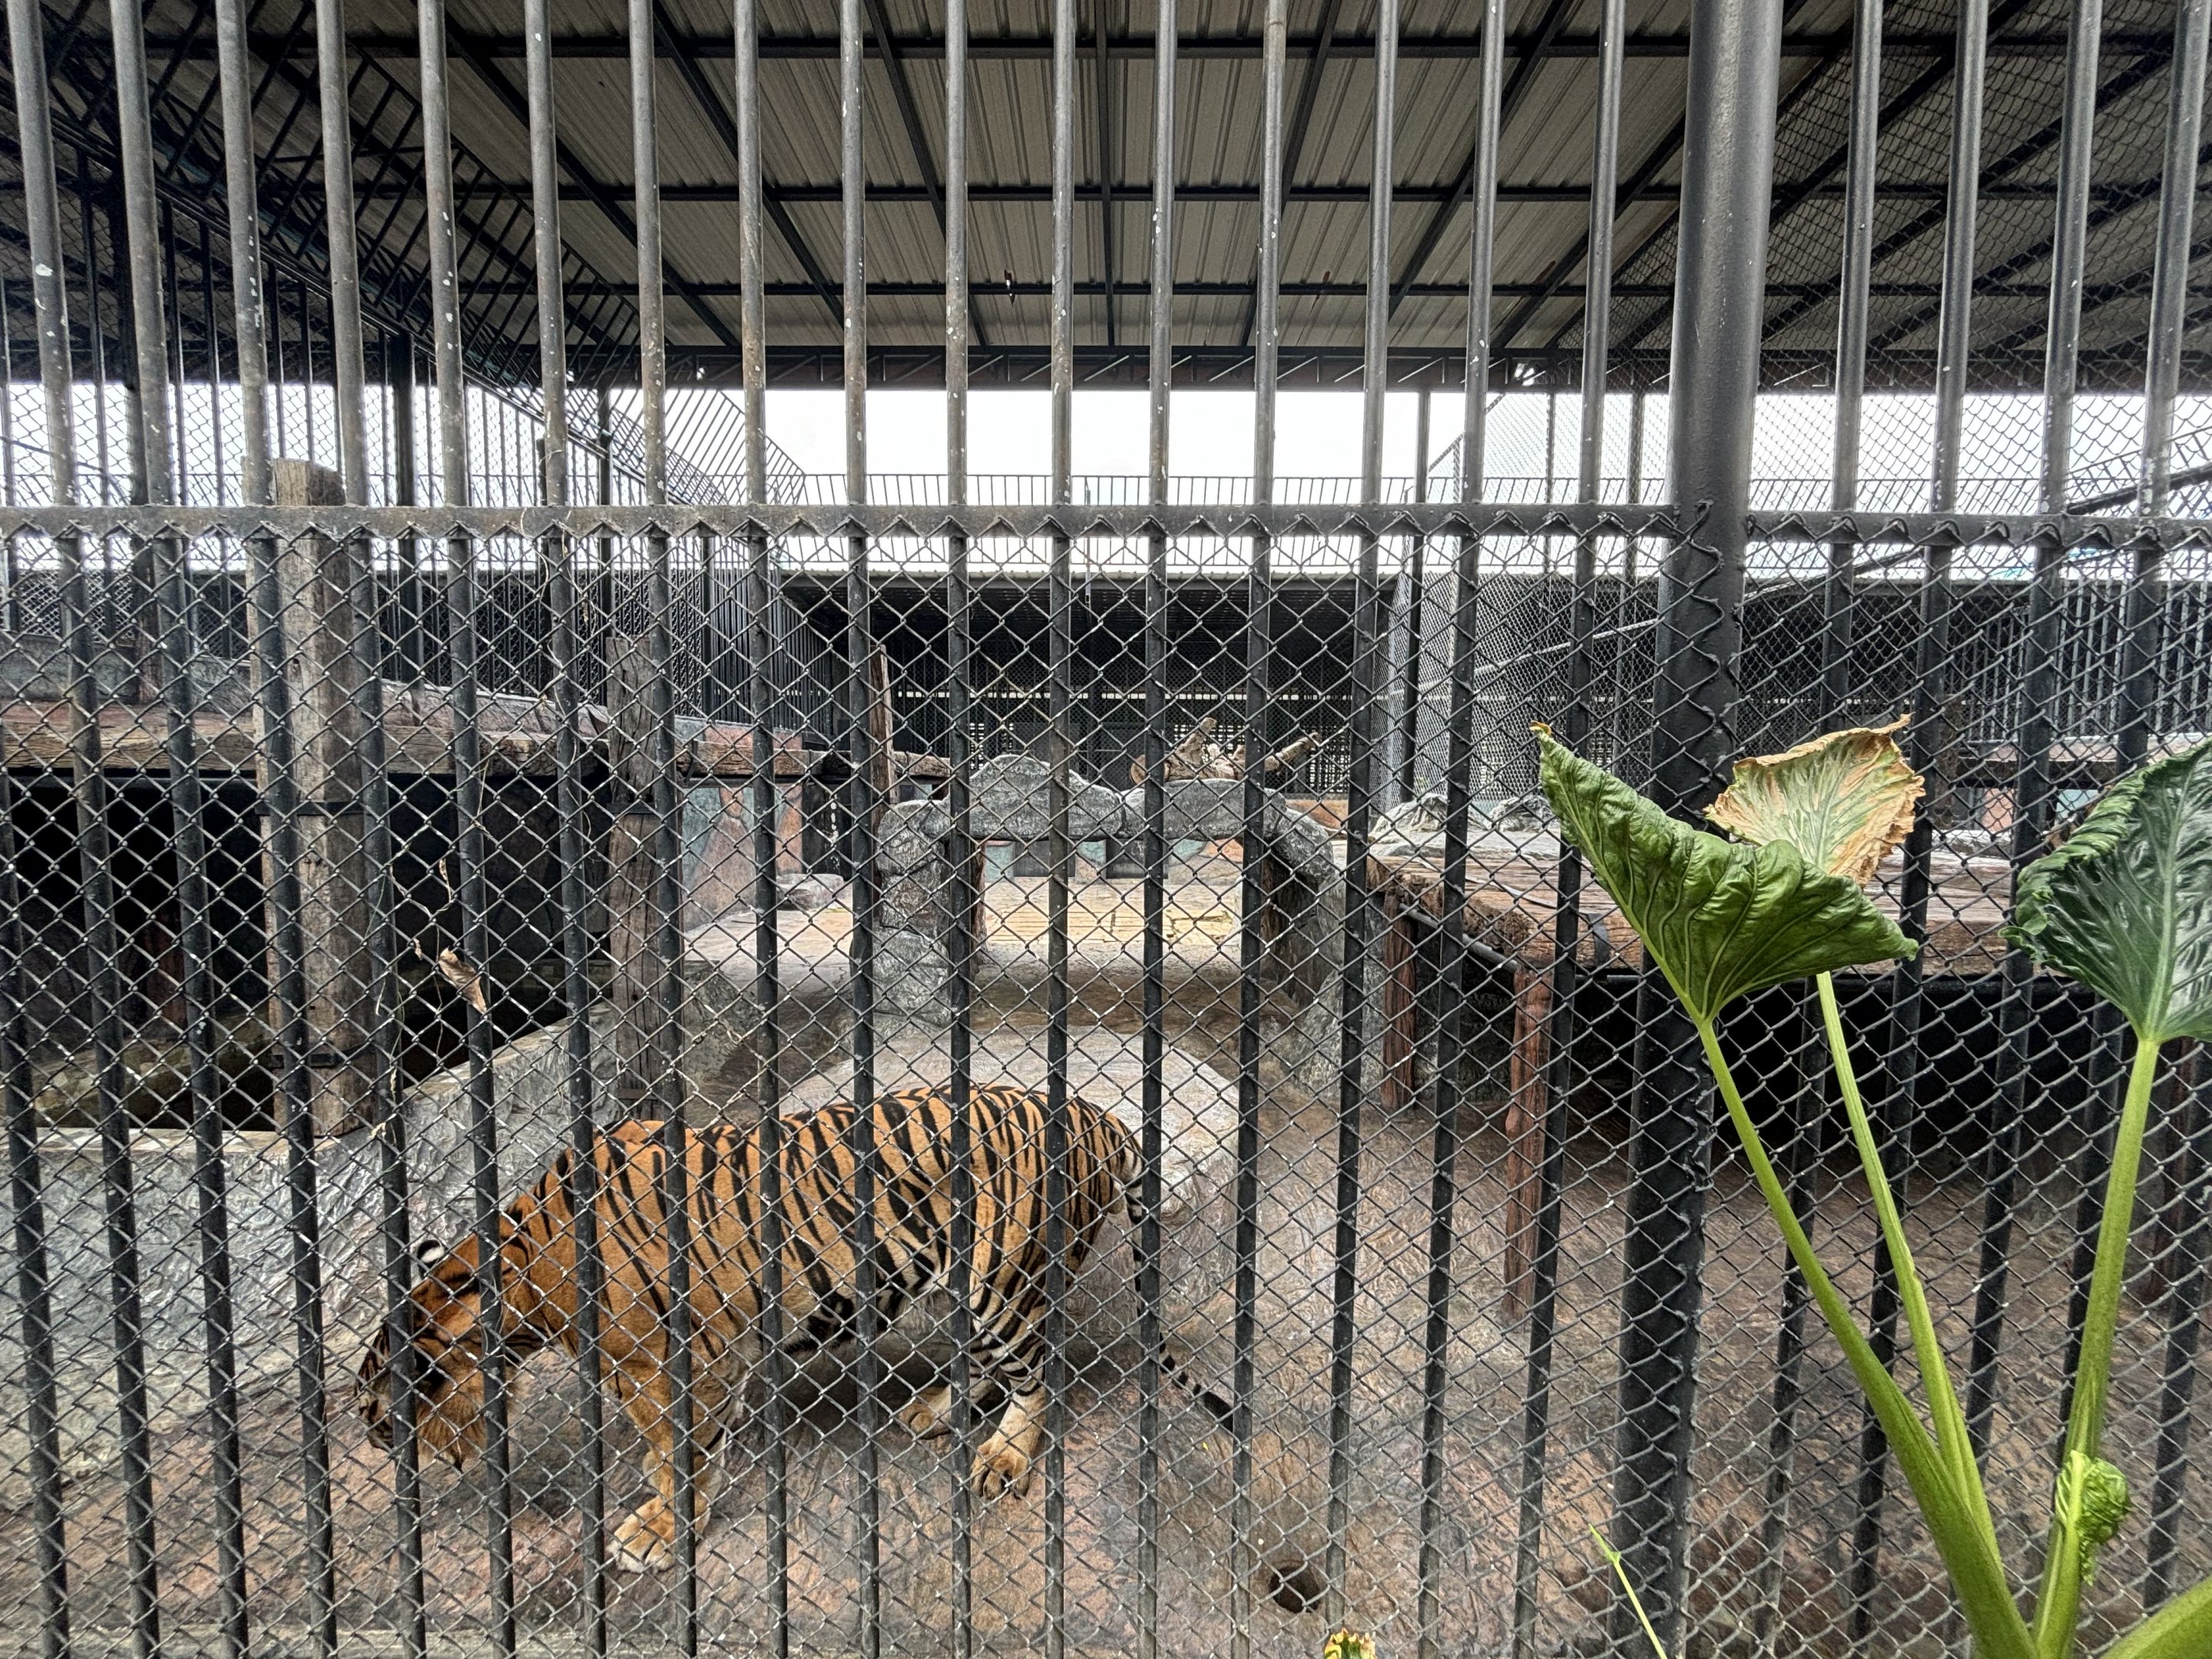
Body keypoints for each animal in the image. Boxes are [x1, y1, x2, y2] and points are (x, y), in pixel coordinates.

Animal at [357, 1083, 1231, 1574]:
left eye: (386, 1421)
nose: (432, 1464)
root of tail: (1095, 1113)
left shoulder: (665, 1361)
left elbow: (675, 1452)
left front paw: (655, 1530)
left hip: (1002, 1277)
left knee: (1038, 1370)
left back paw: (1003, 1457)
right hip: (961, 1282)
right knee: (994, 1363)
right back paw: (936, 1411)